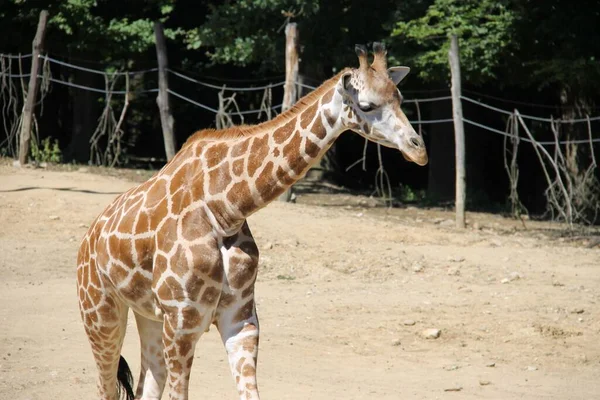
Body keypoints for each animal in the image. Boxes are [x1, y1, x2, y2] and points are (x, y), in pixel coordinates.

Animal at [77, 42, 426, 398]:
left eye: (399, 98)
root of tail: (88, 239)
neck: (226, 209)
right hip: (100, 313)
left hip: (147, 313)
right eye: (367, 105)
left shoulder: (241, 319)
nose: (419, 150)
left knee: (146, 380)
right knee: (106, 385)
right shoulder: (182, 322)